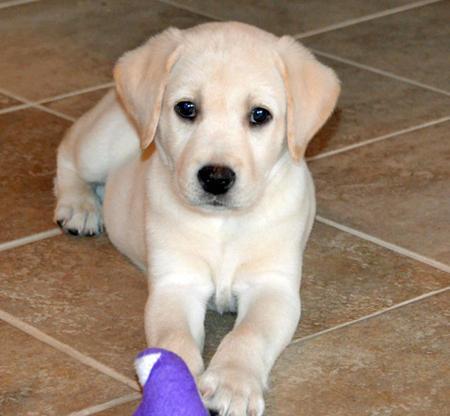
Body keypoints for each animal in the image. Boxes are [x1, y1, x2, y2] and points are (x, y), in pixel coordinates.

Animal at [53, 22, 338, 412]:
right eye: (186, 108)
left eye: (260, 115)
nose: (216, 178)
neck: (223, 225)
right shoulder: (176, 283)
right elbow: (173, 337)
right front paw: (175, 385)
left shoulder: (273, 286)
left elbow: (247, 335)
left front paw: (232, 385)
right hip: (102, 143)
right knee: (68, 150)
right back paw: (79, 207)